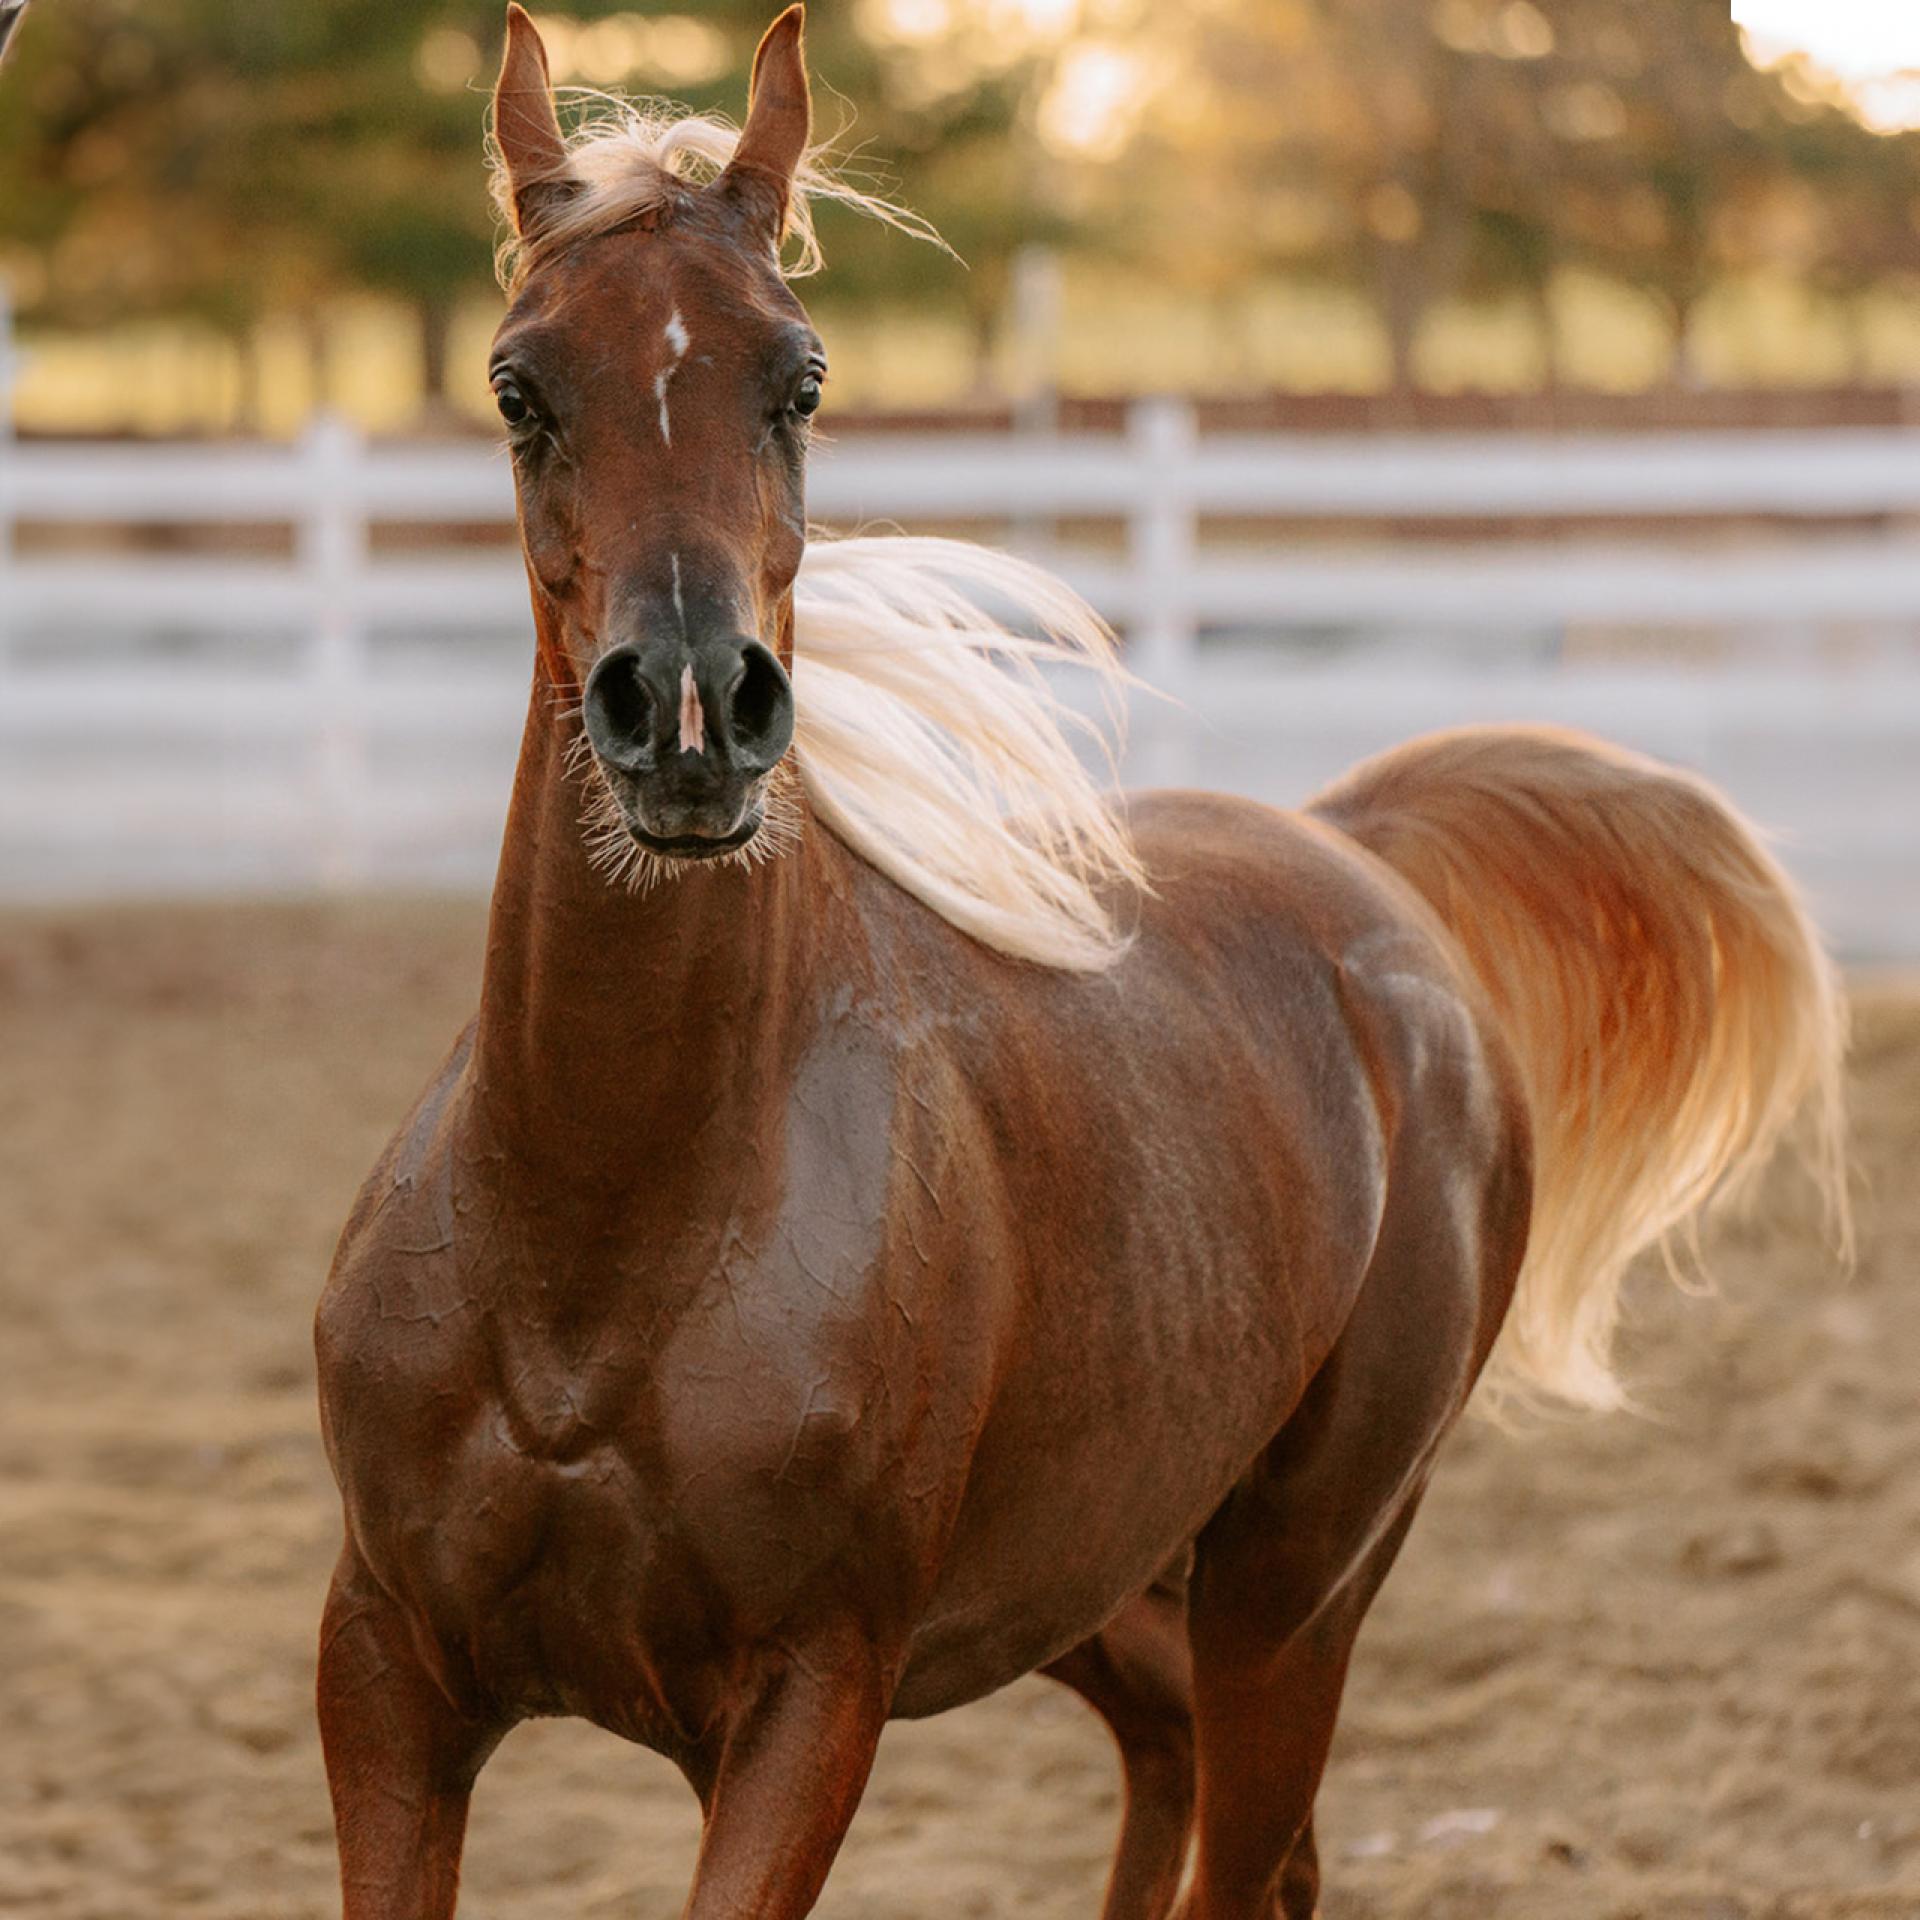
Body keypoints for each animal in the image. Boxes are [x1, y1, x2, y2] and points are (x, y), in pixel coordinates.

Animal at [313, 10, 1849, 1916]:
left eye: (799, 379)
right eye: (521, 386)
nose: (687, 712)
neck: (597, 1263)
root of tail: (1357, 853)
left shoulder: (814, 1696)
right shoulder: (388, 1669)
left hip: (1294, 1581)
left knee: (1247, 1834)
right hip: (1099, 1576)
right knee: (1183, 1770)